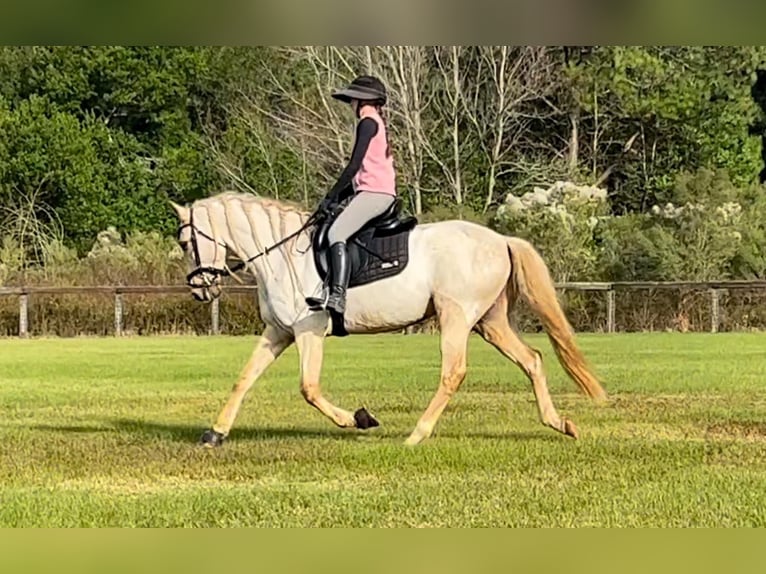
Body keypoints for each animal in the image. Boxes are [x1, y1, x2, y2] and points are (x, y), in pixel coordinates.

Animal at [171, 191, 608, 448]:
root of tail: (500, 239)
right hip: (490, 322)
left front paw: (359, 419)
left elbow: (309, 388)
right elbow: (244, 379)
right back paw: (559, 423)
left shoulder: (309, 330)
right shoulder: (279, 332)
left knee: (454, 371)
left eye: (186, 242)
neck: (281, 255)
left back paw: (417, 434)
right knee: (532, 359)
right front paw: (215, 433)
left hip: (456, 317)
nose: (199, 290)